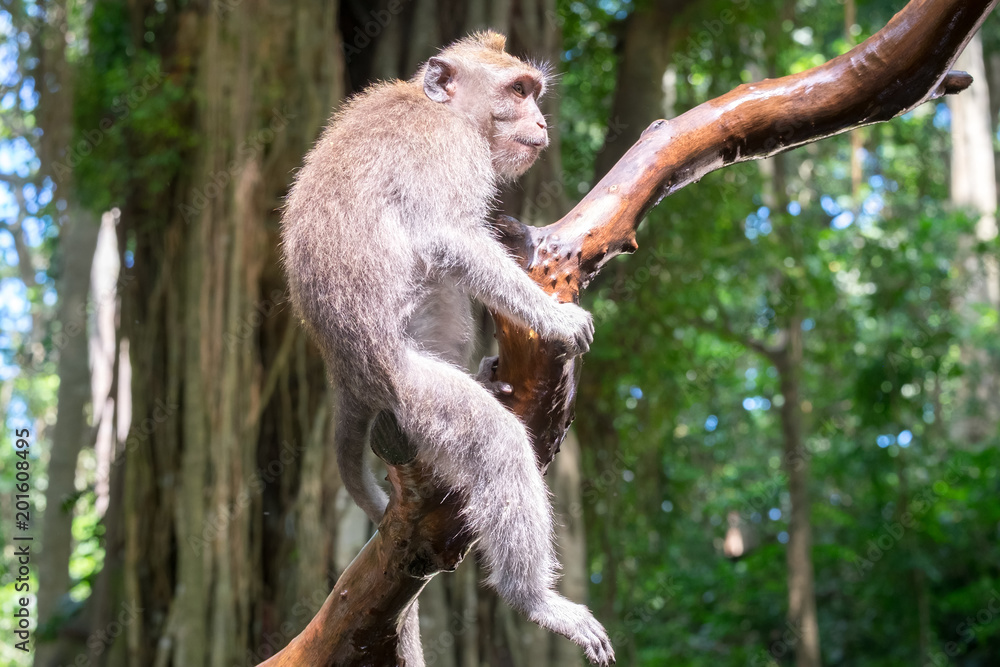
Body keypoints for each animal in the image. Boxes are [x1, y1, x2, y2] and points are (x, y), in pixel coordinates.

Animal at [280, 31, 614, 666]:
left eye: (533, 91)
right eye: (517, 91)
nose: (541, 120)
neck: (444, 110)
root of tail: (345, 375)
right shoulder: (445, 152)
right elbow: (449, 236)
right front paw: (554, 319)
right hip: (411, 389)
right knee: (498, 445)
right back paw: (535, 600)